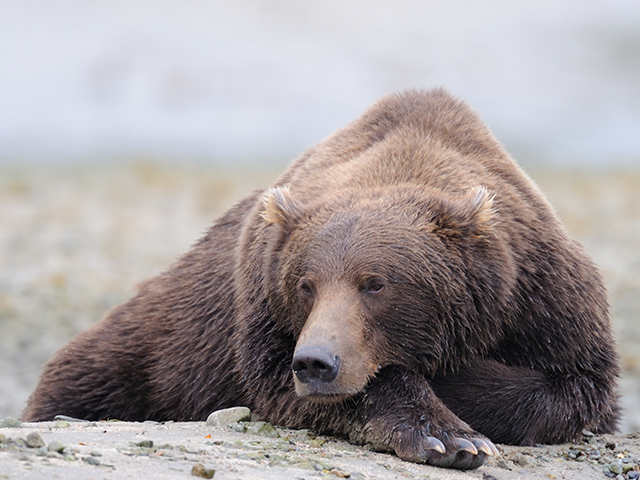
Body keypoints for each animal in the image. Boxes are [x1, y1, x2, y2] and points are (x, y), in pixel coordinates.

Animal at [23, 88, 620, 470]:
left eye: (376, 283)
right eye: (306, 284)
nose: (316, 362)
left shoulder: (542, 292)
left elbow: (575, 387)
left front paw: (458, 401)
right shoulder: (259, 298)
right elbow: (285, 381)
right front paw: (444, 434)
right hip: (160, 341)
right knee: (83, 376)